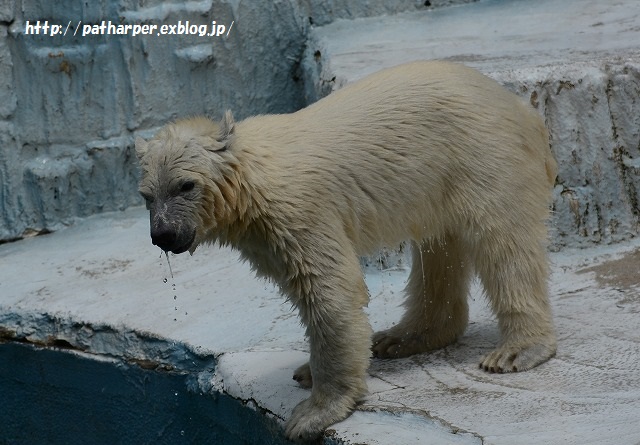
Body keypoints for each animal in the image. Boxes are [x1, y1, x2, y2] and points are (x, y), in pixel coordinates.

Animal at [135, 61, 556, 440]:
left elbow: (328, 290)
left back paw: (516, 350)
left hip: (481, 157)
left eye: (186, 185)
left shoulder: (297, 211)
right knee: (440, 250)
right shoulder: (263, 236)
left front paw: (313, 412)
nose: (164, 235)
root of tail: (520, 107)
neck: (251, 178)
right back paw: (401, 337)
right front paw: (309, 370)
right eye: (146, 196)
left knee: (503, 243)